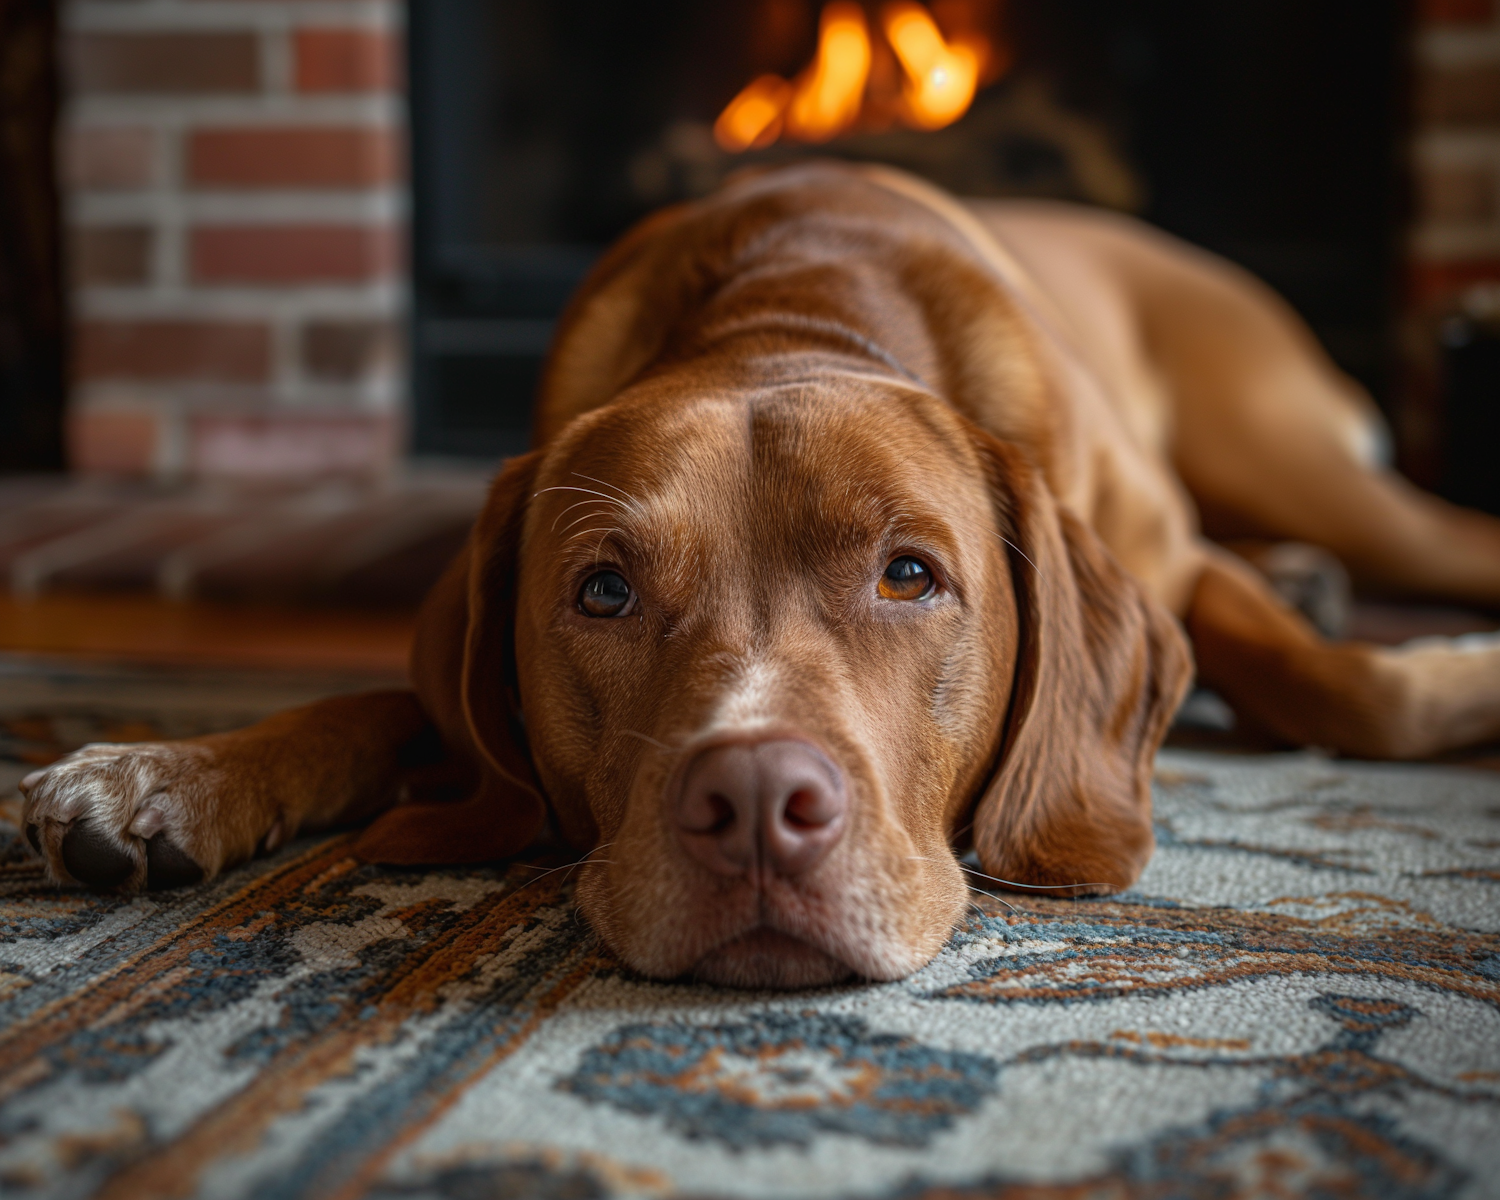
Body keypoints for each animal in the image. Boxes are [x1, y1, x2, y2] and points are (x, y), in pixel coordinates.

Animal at [20, 162, 1500, 984]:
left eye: (909, 576)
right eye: (603, 592)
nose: (751, 805)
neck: (794, 307)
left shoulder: (1165, 557)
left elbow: (1352, 694)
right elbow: (375, 709)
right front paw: (169, 776)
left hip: (1296, 458)